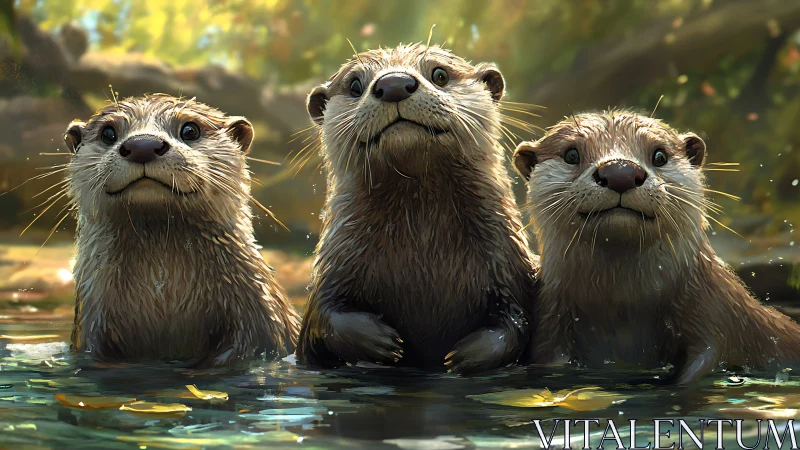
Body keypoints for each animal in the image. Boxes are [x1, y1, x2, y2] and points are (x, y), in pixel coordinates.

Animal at [295, 44, 537, 373]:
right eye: (355, 85)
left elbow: (515, 323)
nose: (394, 83)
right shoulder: (333, 265)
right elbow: (322, 314)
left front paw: (462, 357)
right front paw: (381, 341)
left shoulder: (508, 264)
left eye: (440, 74)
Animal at [513, 110, 800, 383]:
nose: (621, 172)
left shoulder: (715, 311)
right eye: (571, 154)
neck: (624, 303)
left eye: (660, 155)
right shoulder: (550, 322)